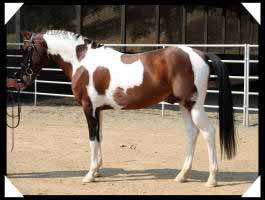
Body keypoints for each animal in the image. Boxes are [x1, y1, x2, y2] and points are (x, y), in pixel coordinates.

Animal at [17, 30, 235, 188]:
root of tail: (200, 53)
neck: (83, 62)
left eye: (27, 50)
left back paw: (212, 179)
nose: (22, 78)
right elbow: (99, 138)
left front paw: (89, 175)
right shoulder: (98, 110)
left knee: (208, 133)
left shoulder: (89, 109)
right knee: (192, 133)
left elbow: (92, 140)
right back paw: (182, 175)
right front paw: (98, 171)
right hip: (185, 105)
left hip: (194, 106)